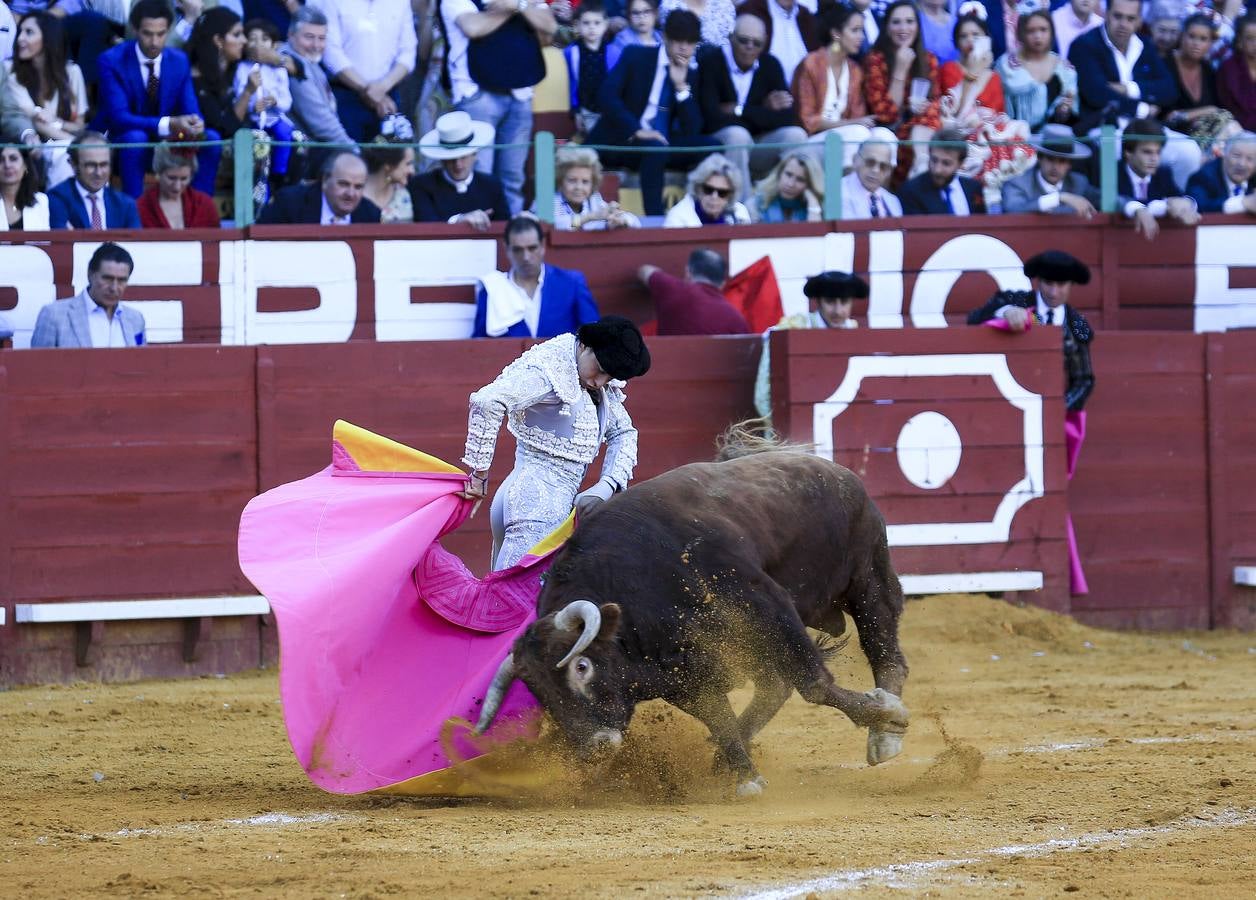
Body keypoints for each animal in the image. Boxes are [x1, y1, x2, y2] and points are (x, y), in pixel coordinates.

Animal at [474, 429, 909, 793]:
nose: (595, 746)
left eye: (581, 667)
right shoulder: (683, 675)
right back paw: (720, 758)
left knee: (885, 649)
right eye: (539, 692)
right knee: (774, 685)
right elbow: (719, 716)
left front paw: (886, 714)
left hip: (868, 578)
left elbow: (813, 682)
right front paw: (745, 774)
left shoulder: (764, 604)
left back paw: (884, 733)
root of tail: (830, 467)